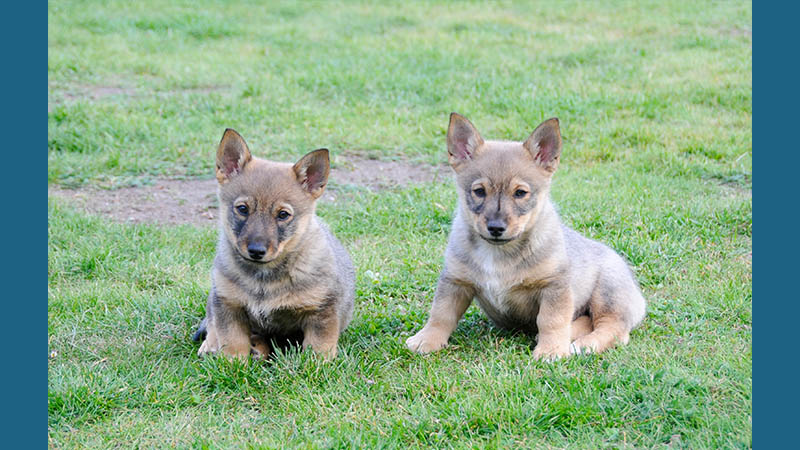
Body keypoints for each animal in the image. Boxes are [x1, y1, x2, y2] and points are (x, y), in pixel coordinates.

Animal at [192, 128, 354, 360]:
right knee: (212, 321)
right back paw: (212, 344)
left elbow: (318, 348)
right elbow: (232, 342)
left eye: (283, 215)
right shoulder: (228, 303)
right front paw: (233, 363)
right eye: (242, 209)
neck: (264, 279)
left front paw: (317, 365)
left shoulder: (322, 310)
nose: (256, 251)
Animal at [410, 114, 648, 360]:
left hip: (607, 293)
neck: (498, 252)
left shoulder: (554, 286)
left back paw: (582, 345)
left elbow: (551, 320)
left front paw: (551, 350)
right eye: (479, 191)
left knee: (614, 328)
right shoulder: (455, 282)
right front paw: (426, 340)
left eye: (520, 193)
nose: (496, 227)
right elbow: (441, 314)